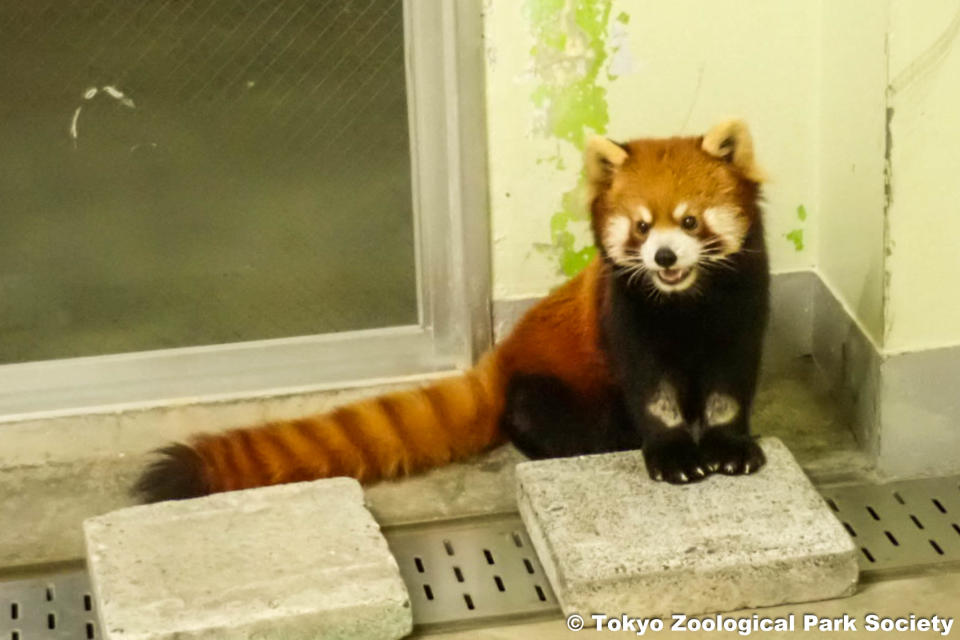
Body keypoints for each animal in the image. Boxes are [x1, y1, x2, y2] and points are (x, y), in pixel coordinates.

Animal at [135, 119, 768, 500]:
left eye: (690, 221)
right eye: (640, 226)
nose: (663, 255)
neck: (686, 304)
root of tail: (499, 359)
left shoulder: (742, 312)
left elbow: (729, 388)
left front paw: (728, 447)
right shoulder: (627, 320)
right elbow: (653, 392)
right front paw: (672, 454)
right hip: (553, 385)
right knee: (545, 420)